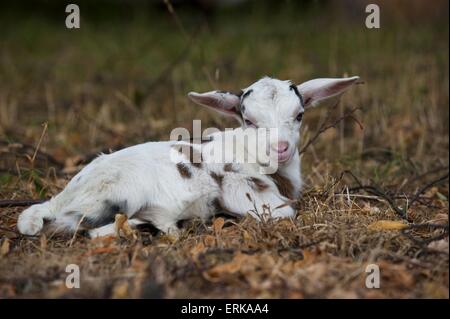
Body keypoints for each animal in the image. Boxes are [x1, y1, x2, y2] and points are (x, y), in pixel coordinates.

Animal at [17, 76, 360, 239]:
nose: (281, 147)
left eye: (299, 114)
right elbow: (284, 212)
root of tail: (60, 199)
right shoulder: (246, 190)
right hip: (119, 193)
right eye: (249, 120)